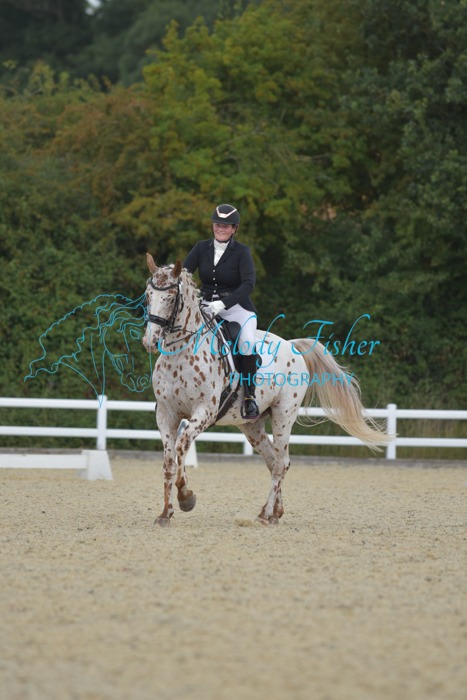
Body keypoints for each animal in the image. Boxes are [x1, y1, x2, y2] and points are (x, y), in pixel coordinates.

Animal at [142, 253, 392, 527]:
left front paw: (186, 498)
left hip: (283, 415)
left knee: (282, 462)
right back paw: (273, 511)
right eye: (147, 295)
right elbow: (169, 460)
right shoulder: (166, 414)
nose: (149, 341)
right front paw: (165, 513)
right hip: (252, 424)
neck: (182, 353)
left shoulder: (204, 411)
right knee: (273, 461)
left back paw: (266, 516)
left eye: (170, 297)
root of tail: (292, 346)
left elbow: (181, 446)